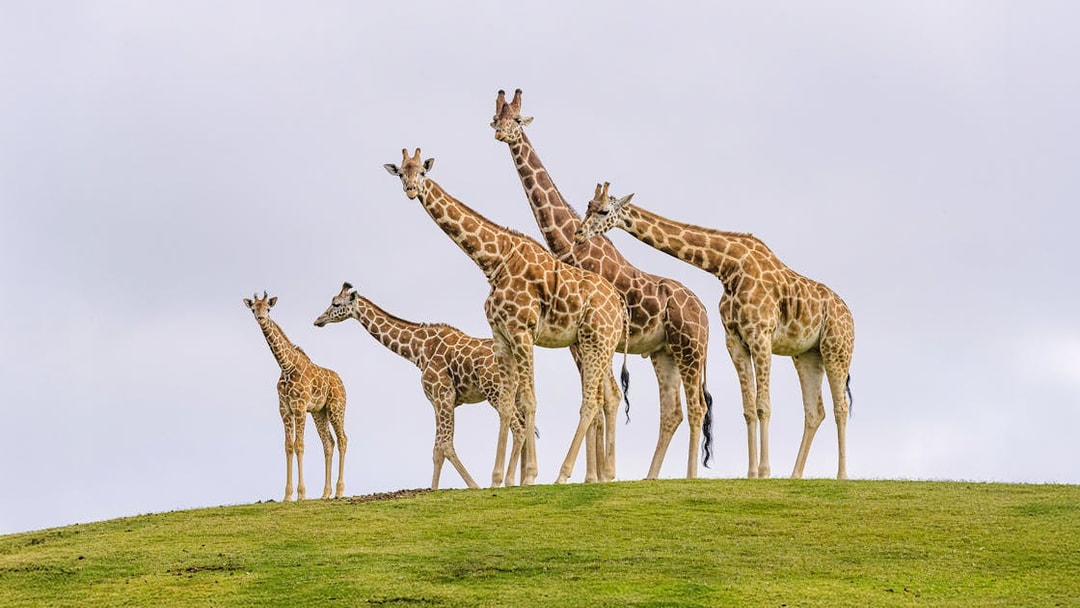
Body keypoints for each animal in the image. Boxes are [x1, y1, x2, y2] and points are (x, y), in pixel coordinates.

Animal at [244, 291, 348, 500]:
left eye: (268, 308)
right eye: (253, 309)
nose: (261, 318)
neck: (286, 365)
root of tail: (342, 383)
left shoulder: (299, 406)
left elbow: (299, 445)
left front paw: (301, 494)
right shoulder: (284, 409)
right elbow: (288, 446)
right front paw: (287, 495)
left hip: (336, 408)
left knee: (342, 440)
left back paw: (340, 491)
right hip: (319, 413)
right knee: (328, 443)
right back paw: (325, 493)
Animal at [314, 281, 520, 490]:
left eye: (336, 304)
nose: (318, 320)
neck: (418, 349)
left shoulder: (443, 395)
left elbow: (445, 446)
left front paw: (473, 486)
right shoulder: (437, 401)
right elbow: (437, 450)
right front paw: (435, 489)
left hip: (495, 391)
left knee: (516, 426)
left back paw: (504, 480)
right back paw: (518, 479)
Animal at [384, 148, 629, 486]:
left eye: (422, 171)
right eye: (401, 172)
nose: (410, 190)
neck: (494, 260)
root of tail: (619, 302)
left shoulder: (523, 332)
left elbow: (528, 400)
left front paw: (529, 476)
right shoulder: (501, 336)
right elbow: (504, 405)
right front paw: (497, 478)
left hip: (597, 340)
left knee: (592, 400)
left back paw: (564, 475)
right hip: (592, 343)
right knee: (609, 397)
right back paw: (603, 475)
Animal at [492, 88, 715, 479]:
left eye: (517, 119)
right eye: (495, 118)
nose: (501, 134)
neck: (570, 245)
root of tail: (704, 311)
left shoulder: (593, 337)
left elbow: (600, 398)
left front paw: (594, 475)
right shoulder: (580, 340)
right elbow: (598, 398)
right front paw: (594, 474)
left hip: (691, 349)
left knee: (697, 408)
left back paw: (687, 476)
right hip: (664, 353)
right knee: (672, 411)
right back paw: (649, 477)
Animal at [576, 183, 855, 480]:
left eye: (604, 210)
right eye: (588, 206)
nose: (579, 234)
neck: (727, 267)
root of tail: (849, 316)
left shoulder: (761, 335)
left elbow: (763, 405)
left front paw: (765, 471)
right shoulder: (735, 341)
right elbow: (748, 408)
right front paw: (752, 473)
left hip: (836, 348)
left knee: (840, 407)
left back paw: (842, 475)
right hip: (807, 354)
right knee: (816, 411)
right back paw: (795, 476)